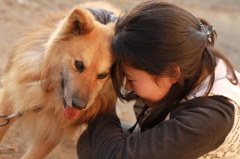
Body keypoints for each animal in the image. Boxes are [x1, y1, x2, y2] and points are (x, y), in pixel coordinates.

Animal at [0, 1, 119, 158]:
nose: (79, 106)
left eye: (103, 75)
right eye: (79, 64)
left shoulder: (53, 133)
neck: (50, 99)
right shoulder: (9, 102)